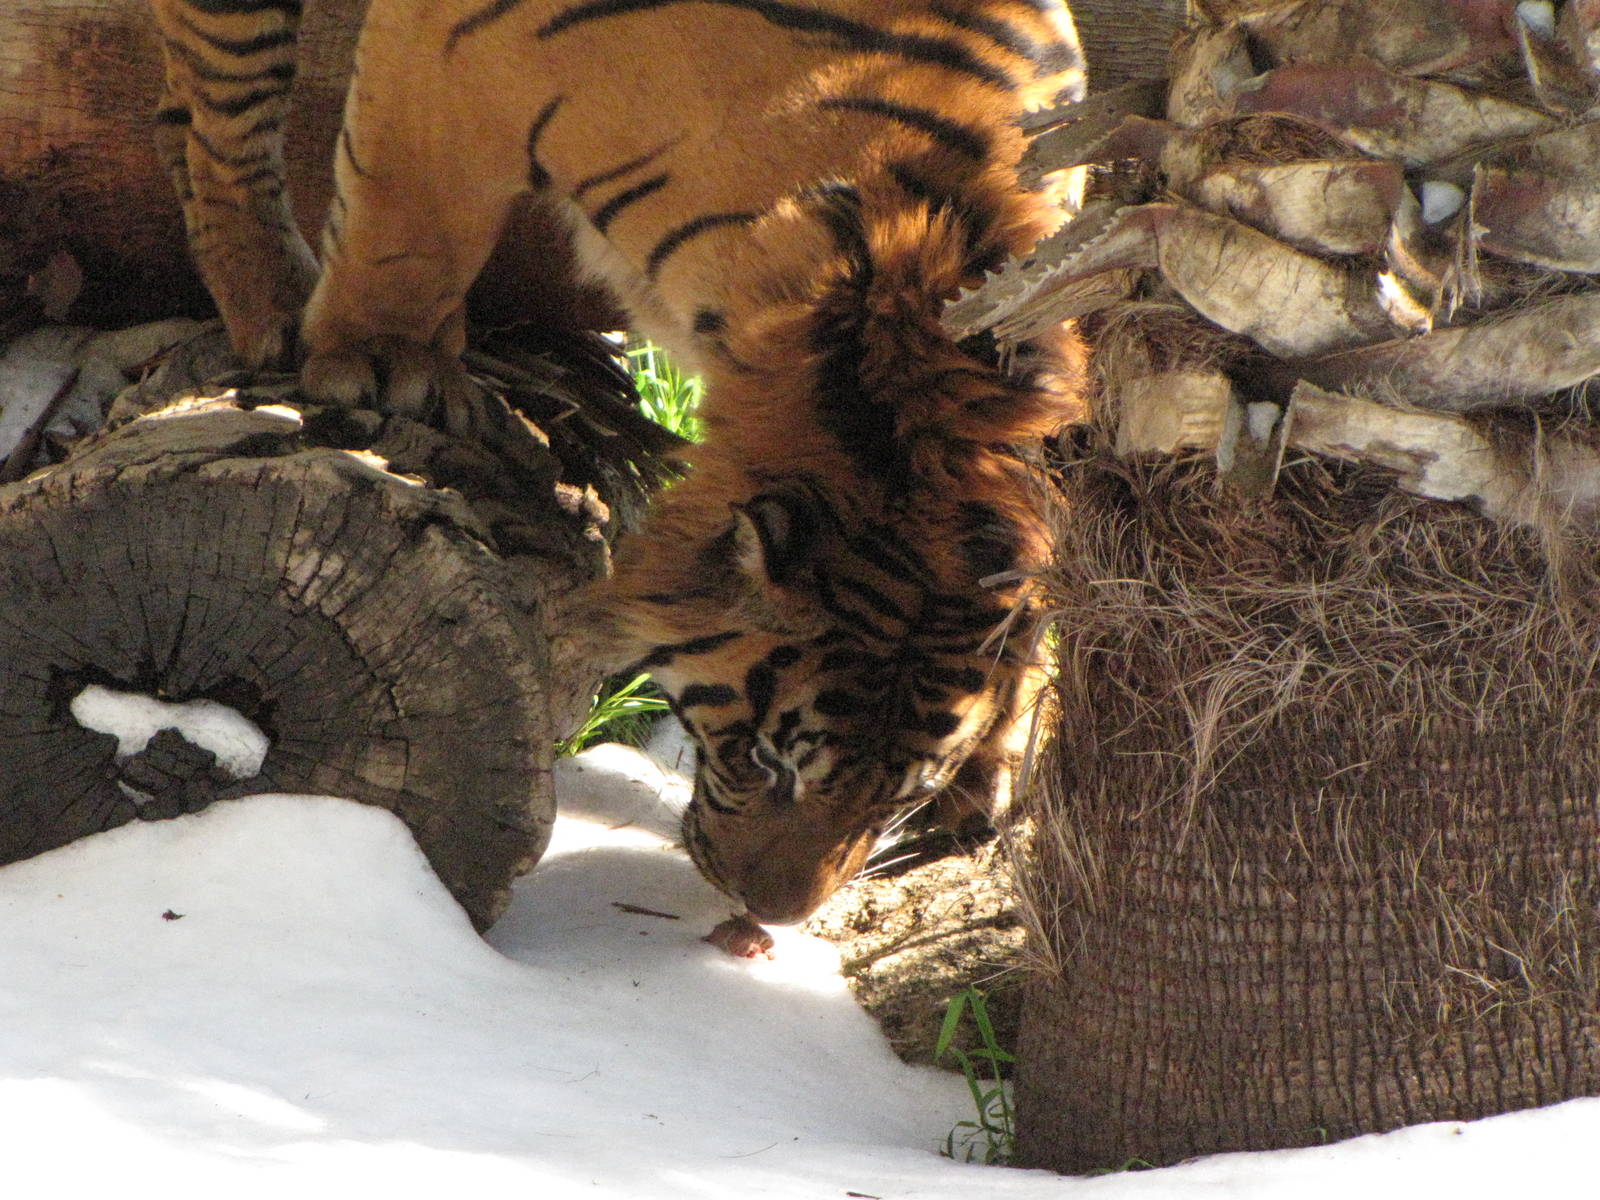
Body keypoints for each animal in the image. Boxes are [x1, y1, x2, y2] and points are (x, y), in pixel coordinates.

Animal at [148, 0, 1087, 926]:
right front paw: (382, 364)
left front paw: (986, 782)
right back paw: (274, 307)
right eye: (770, 761)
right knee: (220, 120)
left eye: (900, 795)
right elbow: (408, 230)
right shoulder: (442, 55)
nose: (772, 916)